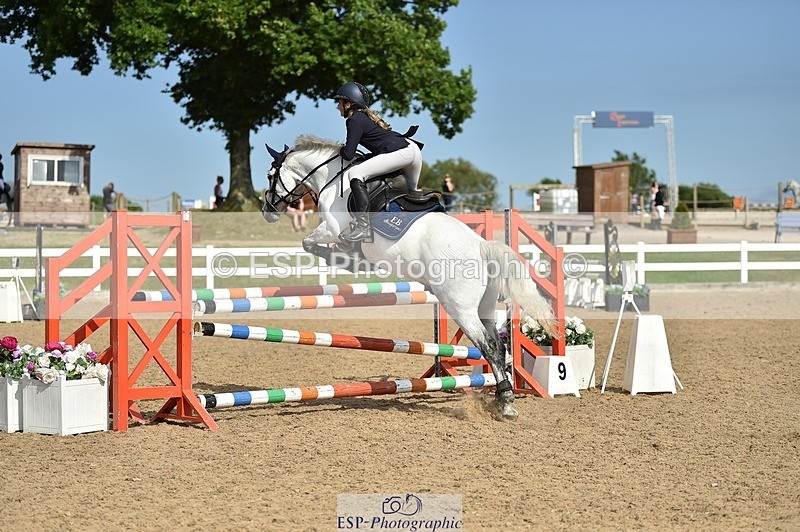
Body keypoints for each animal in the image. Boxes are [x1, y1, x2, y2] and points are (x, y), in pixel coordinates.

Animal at [260, 135, 558, 419]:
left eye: (270, 174)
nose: (267, 211)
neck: (333, 179)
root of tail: (482, 246)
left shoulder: (331, 228)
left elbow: (309, 242)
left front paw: (343, 259)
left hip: (461, 309)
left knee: (490, 347)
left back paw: (505, 402)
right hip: (483, 308)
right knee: (499, 346)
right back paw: (502, 398)